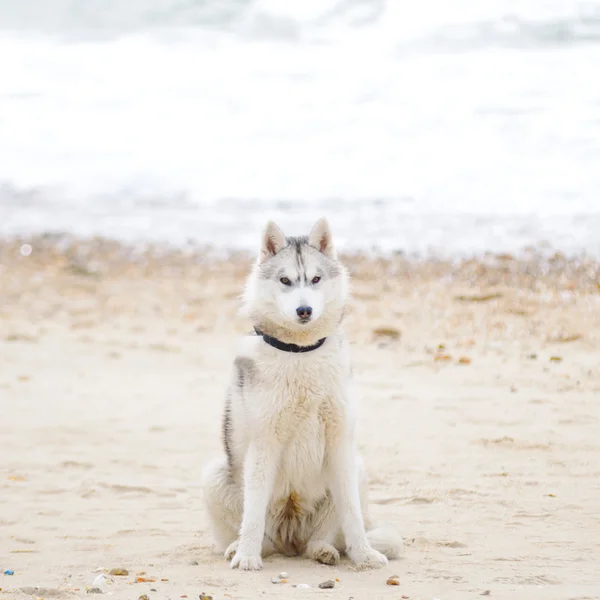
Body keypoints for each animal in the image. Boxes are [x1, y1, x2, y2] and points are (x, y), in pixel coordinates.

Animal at [203, 218, 404, 568]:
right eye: (285, 280)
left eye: (315, 279)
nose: (304, 310)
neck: (300, 352)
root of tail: (290, 540)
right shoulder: (263, 445)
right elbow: (252, 515)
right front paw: (246, 557)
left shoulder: (340, 444)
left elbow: (352, 515)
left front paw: (364, 555)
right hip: (214, 475)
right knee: (261, 537)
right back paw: (241, 547)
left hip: (356, 468)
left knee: (322, 538)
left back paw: (323, 550)